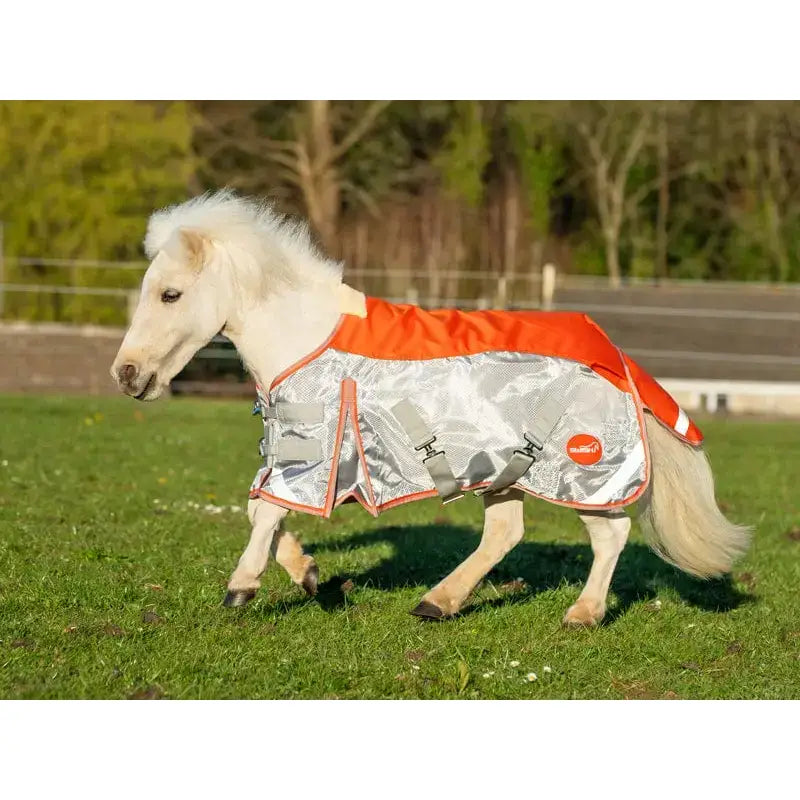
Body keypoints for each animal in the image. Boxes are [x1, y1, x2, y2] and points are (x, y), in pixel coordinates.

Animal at [111, 190, 751, 626]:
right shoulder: (298, 457)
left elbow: (265, 512)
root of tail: (611, 352)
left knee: (609, 535)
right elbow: (259, 511)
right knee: (506, 534)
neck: (307, 337)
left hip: (581, 472)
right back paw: (438, 602)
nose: (126, 374)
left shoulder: (314, 454)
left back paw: (582, 613)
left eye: (170, 294)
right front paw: (309, 574)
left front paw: (242, 586)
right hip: (508, 473)